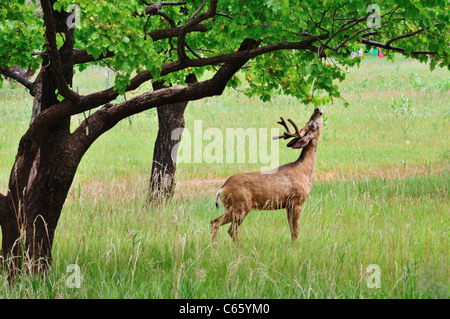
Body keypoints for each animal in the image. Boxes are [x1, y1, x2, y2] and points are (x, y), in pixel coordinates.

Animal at [211, 107, 324, 242]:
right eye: (312, 124)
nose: (317, 108)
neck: (304, 170)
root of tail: (222, 189)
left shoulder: (288, 204)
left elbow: (291, 230)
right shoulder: (297, 199)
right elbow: (296, 231)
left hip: (239, 208)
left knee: (229, 229)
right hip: (239, 205)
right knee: (216, 223)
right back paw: (215, 246)